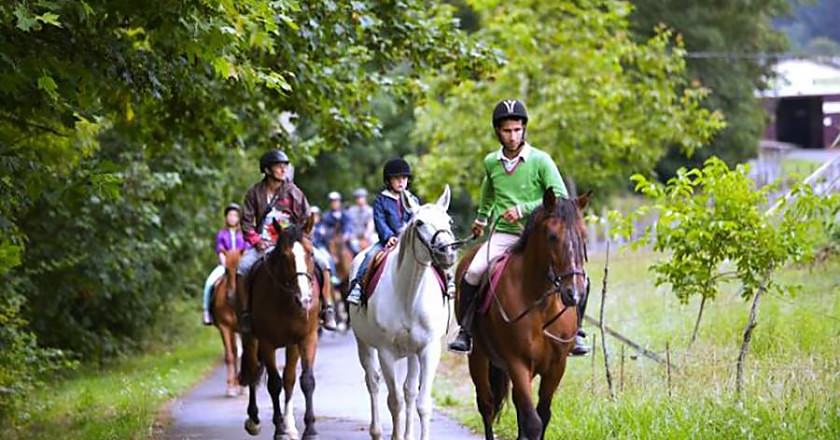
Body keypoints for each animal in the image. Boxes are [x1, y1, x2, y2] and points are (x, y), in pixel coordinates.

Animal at [241, 217, 324, 440]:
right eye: (285, 256)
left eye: (310, 253)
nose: (305, 299)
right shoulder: (267, 342)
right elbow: (274, 384)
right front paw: (279, 430)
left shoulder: (306, 338)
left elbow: (306, 380)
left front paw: (309, 429)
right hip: (251, 339)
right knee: (253, 370)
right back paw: (253, 420)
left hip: (291, 345)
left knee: (289, 378)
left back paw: (291, 426)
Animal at [348, 187, 456, 440]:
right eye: (419, 223)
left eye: (449, 221)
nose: (447, 253)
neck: (409, 294)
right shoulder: (386, 352)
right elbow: (394, 401)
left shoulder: (428, 350)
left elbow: (421, 402)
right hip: (364, 345)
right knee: (373, 382)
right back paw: (376, 431)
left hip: (412, 353)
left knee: (409, 391)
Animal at [456, 189, 588, 440]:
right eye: (552, 236)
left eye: (584, 236)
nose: (574, 293)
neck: (541, 305)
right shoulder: (517, 363)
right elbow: (533, 422)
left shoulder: (556, 366)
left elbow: (542, 416)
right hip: (478, 357)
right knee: (486, 405)